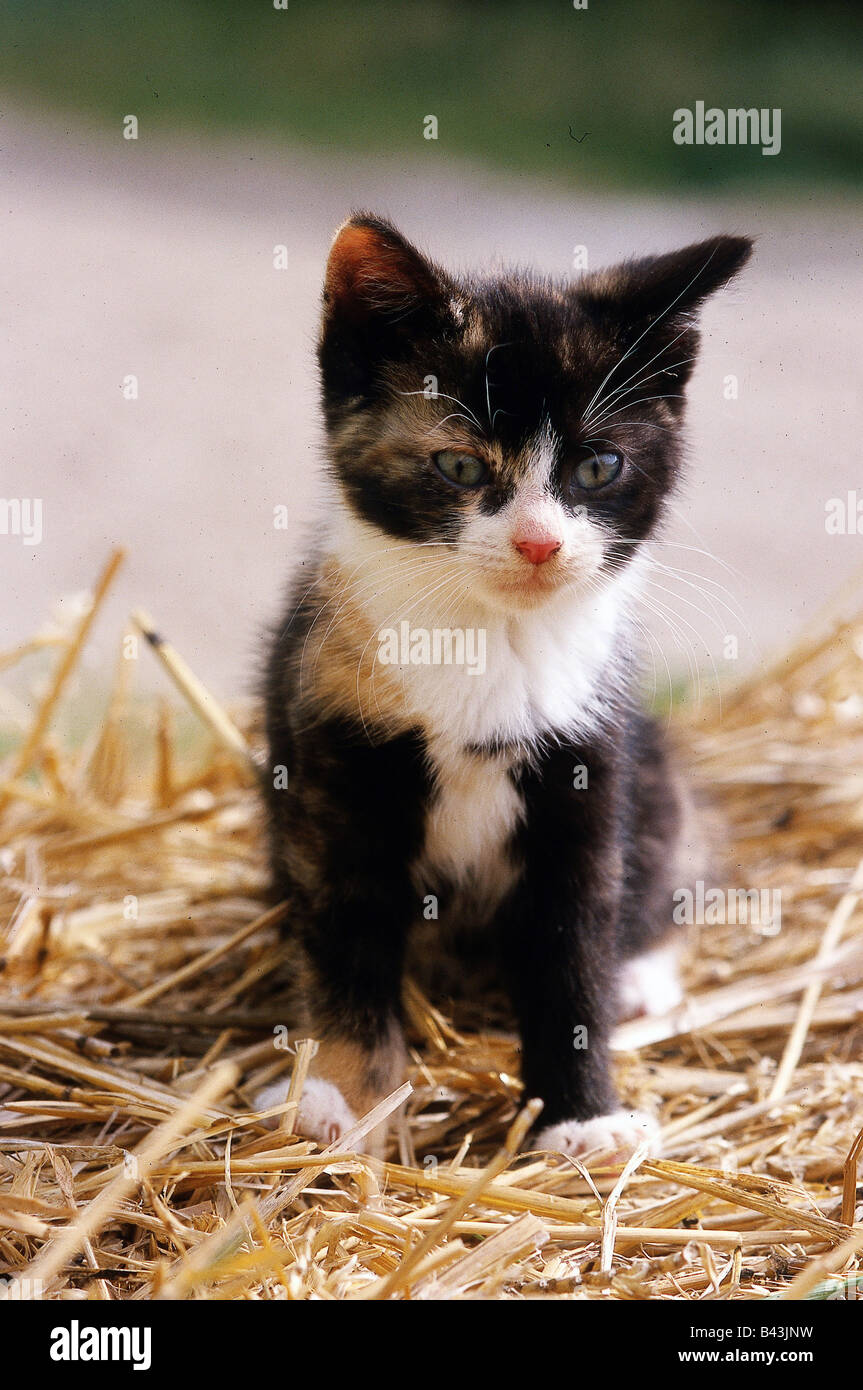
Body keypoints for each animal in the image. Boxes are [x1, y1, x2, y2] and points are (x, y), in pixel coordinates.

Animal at [255, 211, 744, 1156]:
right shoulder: (334, 771)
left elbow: (573, 954)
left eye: (597, 469)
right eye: (459, 468)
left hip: (651, 770)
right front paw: (346, 1099)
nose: (538, 544)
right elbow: (346, 947)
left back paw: (641, 977)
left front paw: (582, 1115)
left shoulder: (587, 772)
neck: (493, 636)